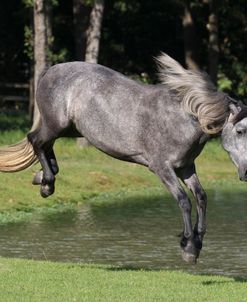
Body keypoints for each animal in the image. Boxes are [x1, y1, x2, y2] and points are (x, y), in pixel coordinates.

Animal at [0, 53, 247, 264]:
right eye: (240, 131)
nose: (245, 173)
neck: (183, 119)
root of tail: (50, 70)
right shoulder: (162, 168)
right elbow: (184, 200)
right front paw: (188, 247)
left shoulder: (186, 167)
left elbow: (201, 197)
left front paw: (198, 243)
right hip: (56, 124)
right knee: (36, 140)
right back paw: (47, 184)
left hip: (70, 129)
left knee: (44, 145)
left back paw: (42, 178)